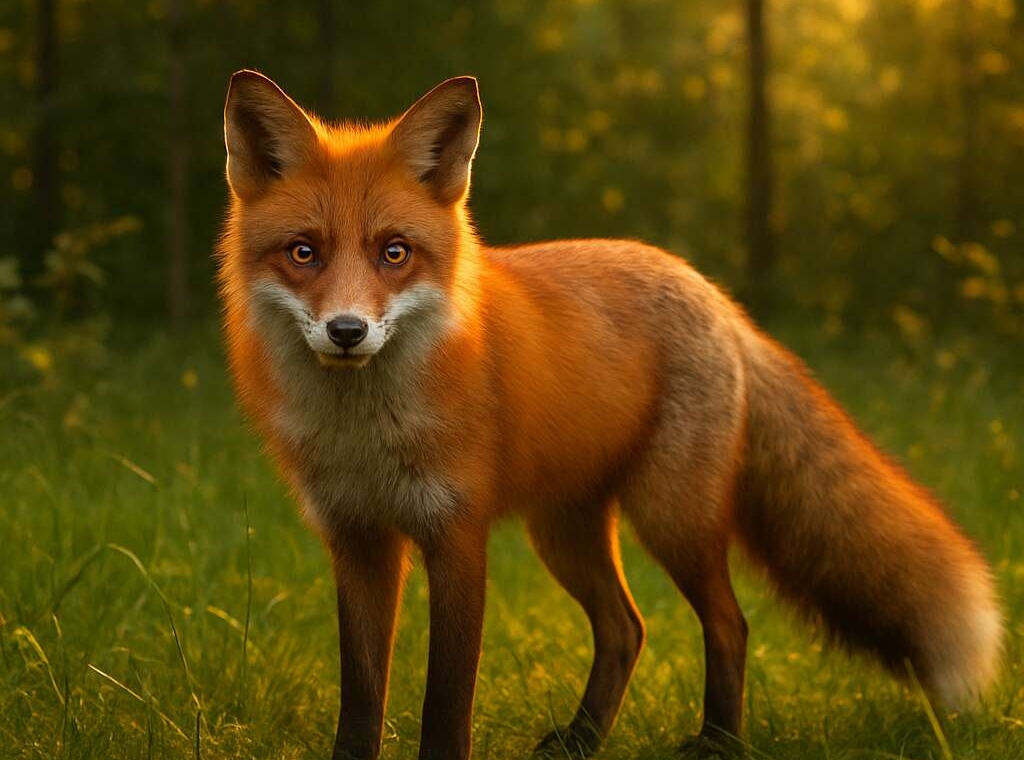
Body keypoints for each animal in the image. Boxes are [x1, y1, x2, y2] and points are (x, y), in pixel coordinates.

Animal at [217, 70, 1002, 760]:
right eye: (304, 253)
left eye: (395, 253)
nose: (347, 331)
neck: (366, 435)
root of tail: (713, 294)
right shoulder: (357, 540)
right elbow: (361, 699)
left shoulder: (457, 536)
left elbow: (446, 703)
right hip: (563, 532)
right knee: (627, 629)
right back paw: (584, 739)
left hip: (671, 517)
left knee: (729, 623)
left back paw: (718, 742)